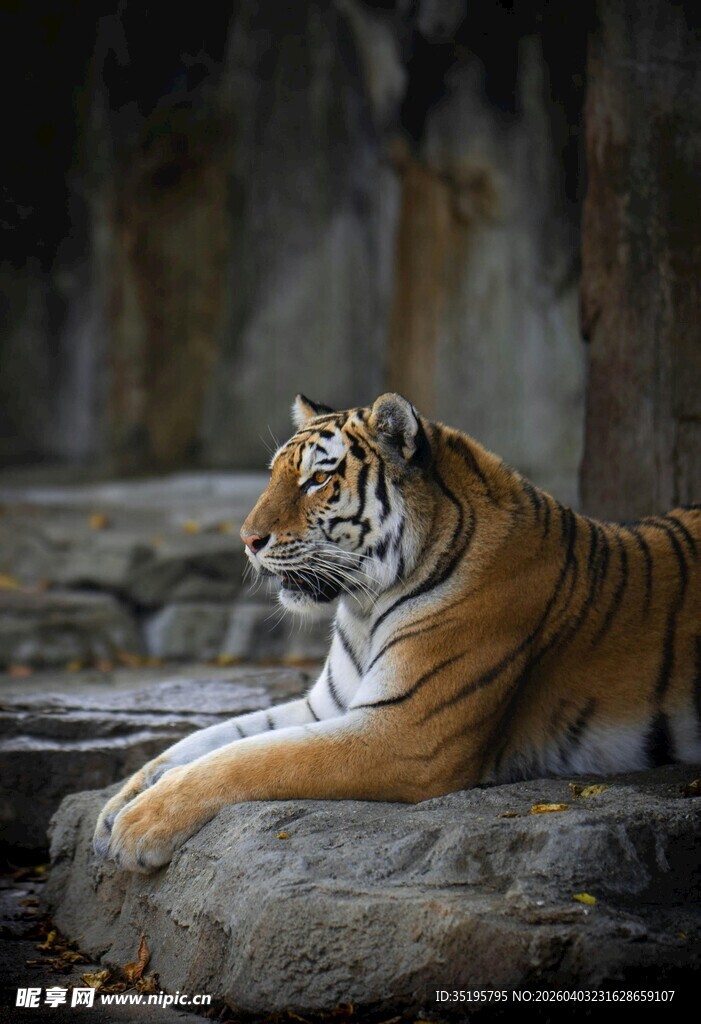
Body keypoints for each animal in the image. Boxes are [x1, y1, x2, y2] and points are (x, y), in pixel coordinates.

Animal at [94, 392, 701, 872]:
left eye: (318, 478)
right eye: (273, 475)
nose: (247, 540)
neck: (364, 607)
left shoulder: (405, 732)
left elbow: (250, 758)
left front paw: (140, 824)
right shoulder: (326, 707)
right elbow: (210, 739)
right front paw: (118, 805)